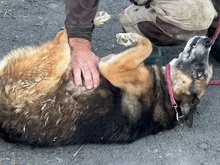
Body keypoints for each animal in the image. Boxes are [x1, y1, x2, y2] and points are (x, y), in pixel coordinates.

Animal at [0, 14, 212, 146]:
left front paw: (129, 39)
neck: (168, 92)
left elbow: (146, 45)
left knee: (62, 39)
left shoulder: (111, 67)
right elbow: (147, 44)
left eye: (201, 73)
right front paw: (129, 38)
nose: (209, 41)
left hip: (55, 60)